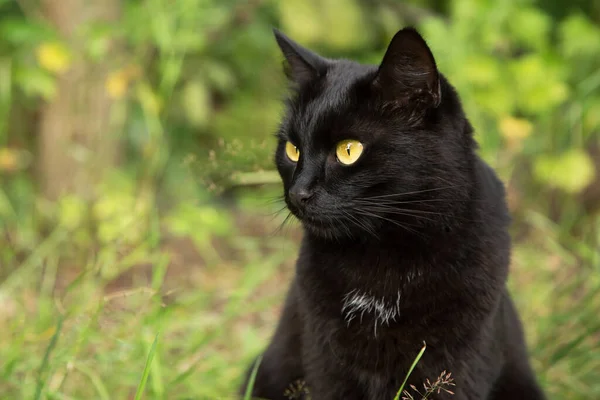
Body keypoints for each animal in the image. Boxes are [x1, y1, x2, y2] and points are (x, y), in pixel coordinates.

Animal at [238, 27, 544, 400]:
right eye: (292, 149)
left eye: (349, 150)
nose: (297, 193)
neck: (382, 256)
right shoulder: (325, 359)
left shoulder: (458, 365)